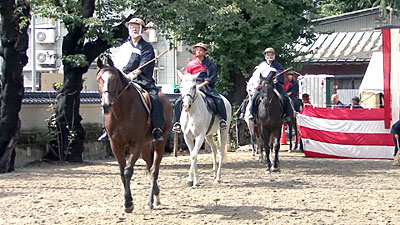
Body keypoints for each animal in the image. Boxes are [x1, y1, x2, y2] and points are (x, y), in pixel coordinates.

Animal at [97, 58, 173, 213]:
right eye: (99, 79)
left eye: (114, 79)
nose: (106, 105)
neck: (121, 111)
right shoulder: (116, 144)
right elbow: (122, 172)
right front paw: (127, 201)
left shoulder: (135, 143)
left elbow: (128, 171)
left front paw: (128, 203)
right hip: (145, 145)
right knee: (149, 167)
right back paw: (155, 196)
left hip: (159, 142)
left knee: (154, 170)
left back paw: (150, 201)